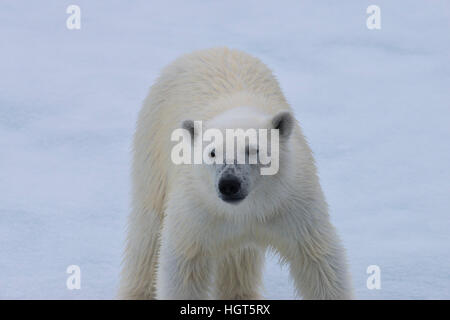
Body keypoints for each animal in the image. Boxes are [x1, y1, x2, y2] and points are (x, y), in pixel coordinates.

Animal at [118, 47, 354, 300]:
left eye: (253, 149)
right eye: (212, 152)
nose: (229, 184)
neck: (247, 209)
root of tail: (207, 49)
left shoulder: (291, 204)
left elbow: (316, 258)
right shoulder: (197, 209)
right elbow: (184, 263)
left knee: (239, 258)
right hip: (152, 147)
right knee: (148, 232)